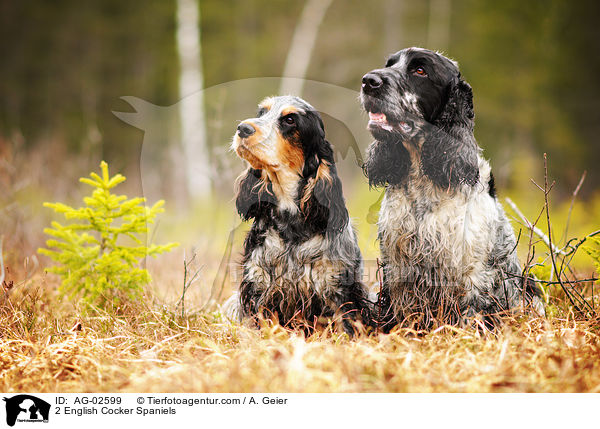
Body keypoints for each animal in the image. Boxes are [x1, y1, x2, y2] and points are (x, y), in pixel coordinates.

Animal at [225, 95, 370, 332]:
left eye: (290, 120)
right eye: (262, 113)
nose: (243, 128)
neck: (290, 221)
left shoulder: (340, 290)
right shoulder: (258, 286)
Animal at [360, 47, 544, 328]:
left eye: (420, 70)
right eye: (390, 65)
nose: (369, 81)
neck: (424, 178)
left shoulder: (472, 273)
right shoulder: (396, 266)